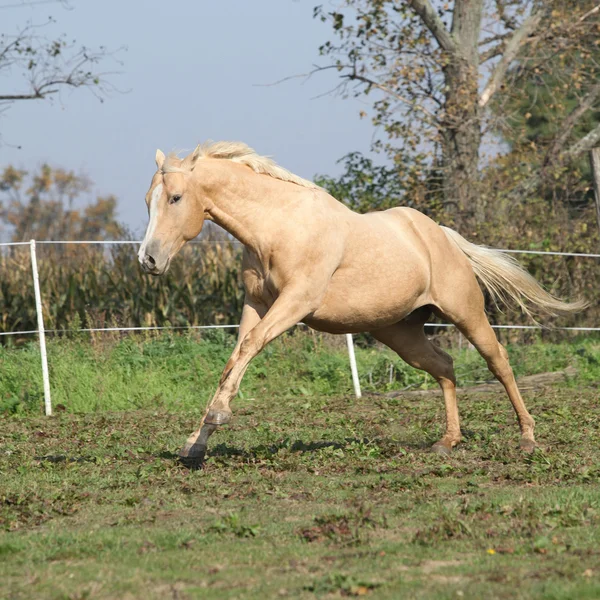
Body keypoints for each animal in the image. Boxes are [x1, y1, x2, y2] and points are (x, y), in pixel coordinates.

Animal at [138, 143, 584, 466]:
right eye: (147, 200)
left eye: (175, 197)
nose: (148, 259)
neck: (278, 228)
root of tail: (441, 235)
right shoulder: (256, 305)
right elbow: (233, 359)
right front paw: (195, 444)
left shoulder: (296, 303)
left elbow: (247, 349)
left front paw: (216, 419)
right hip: (399, 332)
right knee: (444, 367)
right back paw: (447, 441)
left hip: (467, 314)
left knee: (499, 363)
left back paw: (527, 438)